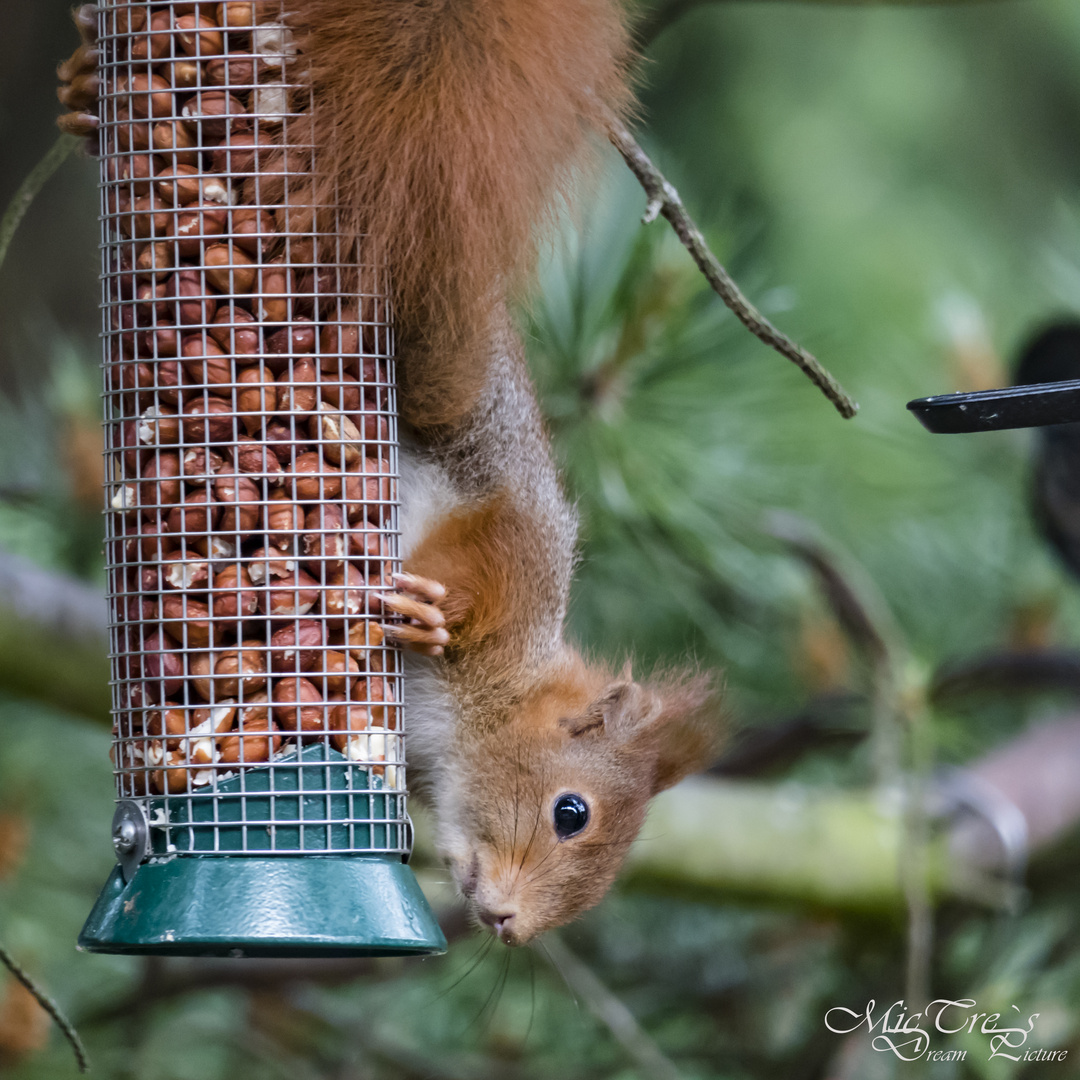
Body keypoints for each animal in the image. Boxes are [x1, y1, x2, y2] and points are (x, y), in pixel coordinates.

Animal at [56, 0, 717, 946]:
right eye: (571, 812)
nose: (511, 926)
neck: (471, 716)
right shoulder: (523, 538)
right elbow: (499, 544)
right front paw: (434, 612)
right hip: (451, 380)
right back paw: (82, 88)